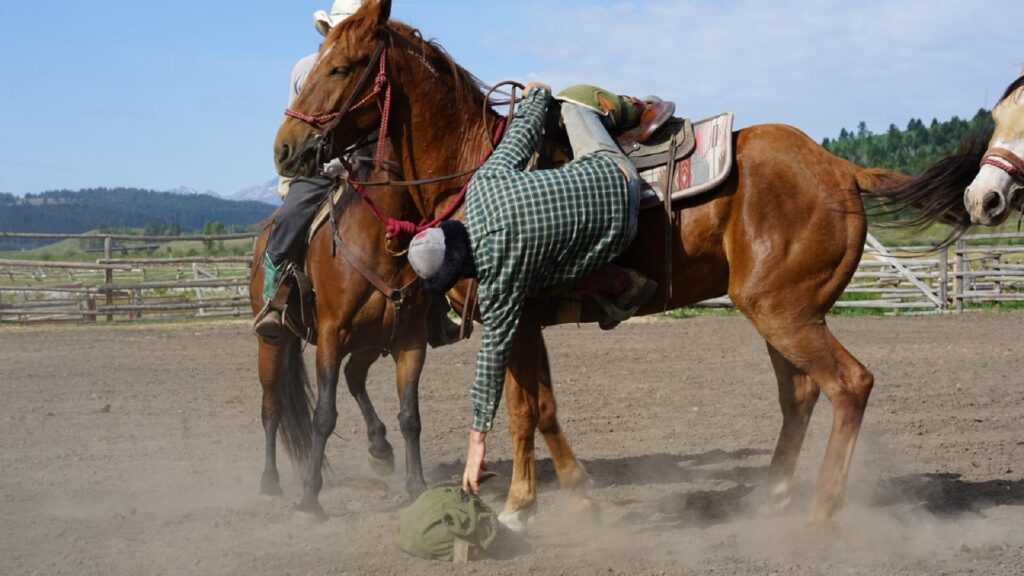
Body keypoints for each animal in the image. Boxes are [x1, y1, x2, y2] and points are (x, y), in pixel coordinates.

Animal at [270, 0, 913, 522]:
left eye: (342, 67)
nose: (284, 148)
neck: (472, 165)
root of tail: (840, 167)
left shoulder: (513, 313)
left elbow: (522, 411)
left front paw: (518, 507)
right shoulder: (527, 322)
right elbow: (544, 408)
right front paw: (575, 497)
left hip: (783, 312)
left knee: (849, 384)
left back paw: (821, 511)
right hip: (780, 312)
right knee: (800, 394)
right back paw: (774, 497)